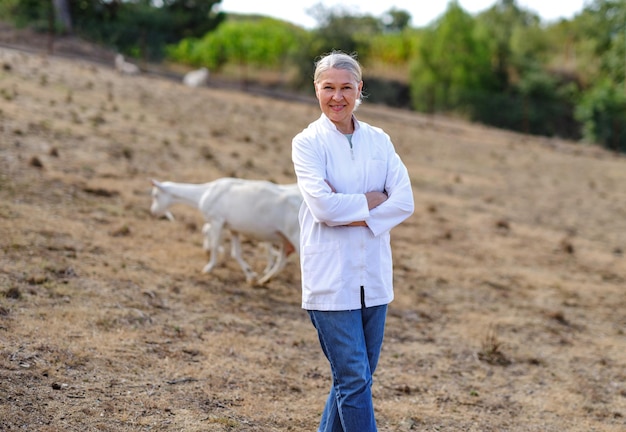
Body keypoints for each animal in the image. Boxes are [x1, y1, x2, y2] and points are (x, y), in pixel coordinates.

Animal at [149, 177, 300, 286]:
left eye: (156, 195)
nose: (153, 211)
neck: (204, 192)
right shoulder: (233, 229)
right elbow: (236, 253)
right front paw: (250, 275)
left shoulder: (217, 221)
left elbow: (215, 245)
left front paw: (208, 267)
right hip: (286, 240)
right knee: (281, 262)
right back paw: (265, 280)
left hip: (296, 237)